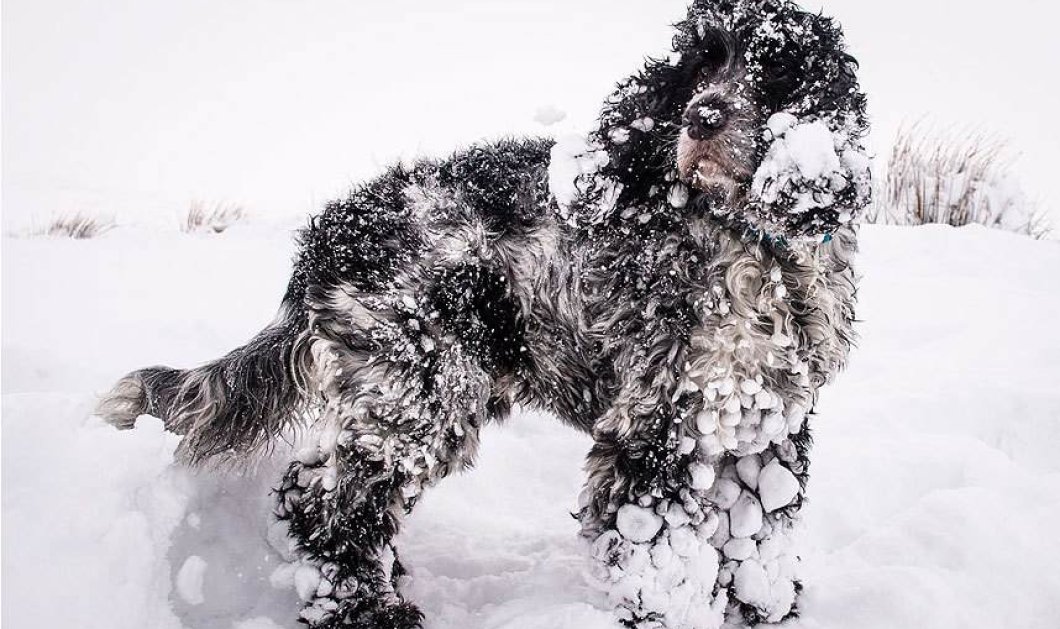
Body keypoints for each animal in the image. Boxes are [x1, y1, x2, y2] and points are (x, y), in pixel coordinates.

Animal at [95, 2, 864, 623]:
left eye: (776, 71)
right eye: (700, 62)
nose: (704, 115)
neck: (749, 240)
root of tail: (329, 235)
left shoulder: (761, 426)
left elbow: (754, 538)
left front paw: (765, 608)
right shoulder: (657, 428)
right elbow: (663, 554)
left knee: (324, 488)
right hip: (423, 384)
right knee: (328, 505)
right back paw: (371, 610)